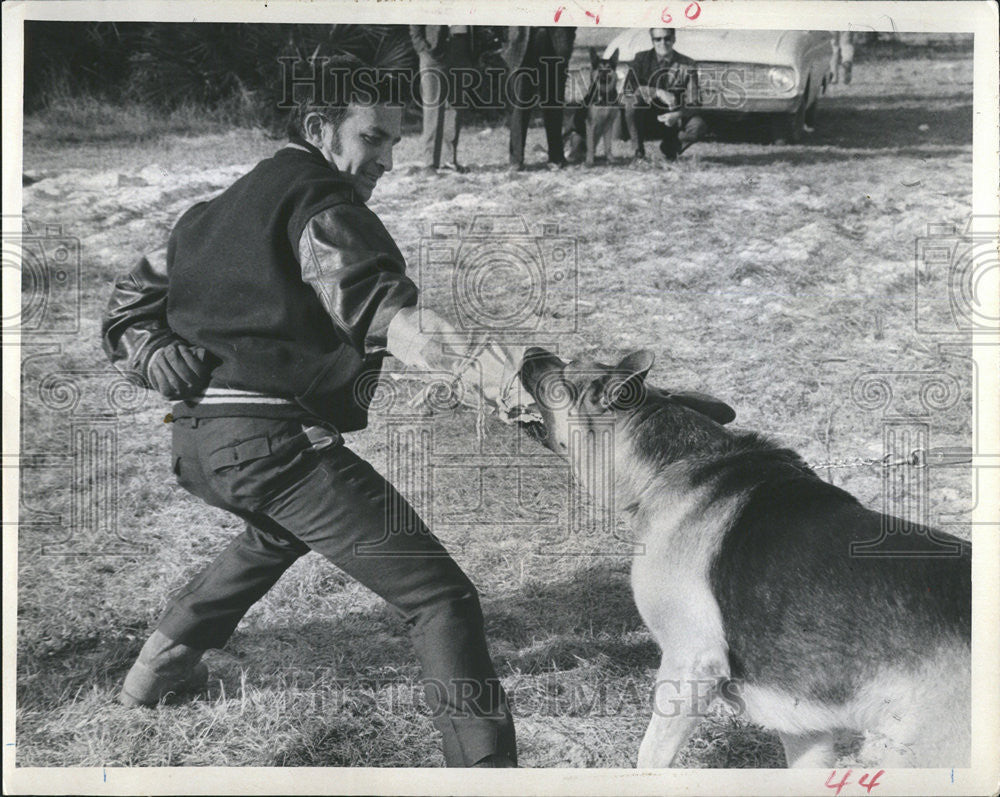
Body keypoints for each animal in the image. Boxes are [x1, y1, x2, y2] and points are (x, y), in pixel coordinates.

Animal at [520, 346, 972, 764]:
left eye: (566, 370)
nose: (531, 352)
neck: (680, 465)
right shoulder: (803, 723)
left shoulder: (690, 664)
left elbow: (651, 755)